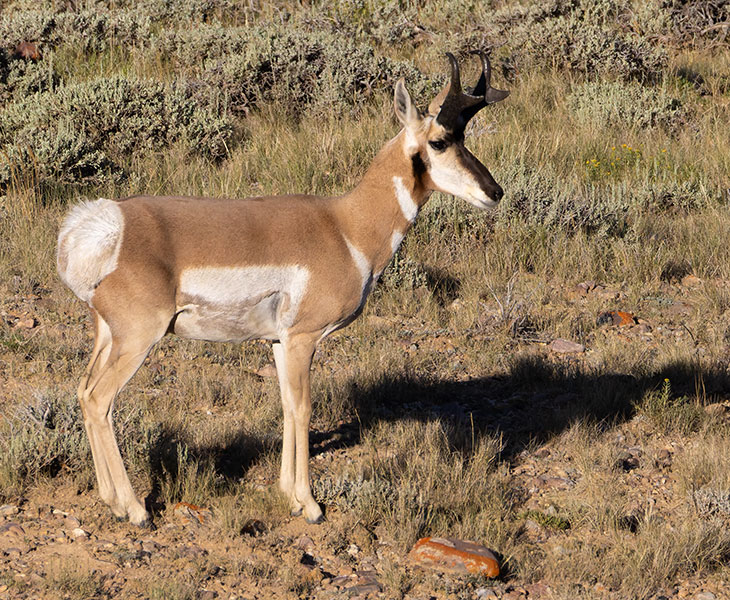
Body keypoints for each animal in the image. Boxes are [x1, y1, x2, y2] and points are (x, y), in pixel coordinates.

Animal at [57, 52, 509, 526]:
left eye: (464, 136)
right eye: (439, 141)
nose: (494, 191)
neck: (346, 226)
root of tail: (104, 223)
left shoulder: (278, 341)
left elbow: (288, 406)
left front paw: (289, 495)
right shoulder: (303, 338)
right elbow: (305, 408)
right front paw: (310, 506)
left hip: (107, 336)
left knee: (83, 393)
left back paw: (111, 499)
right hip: (138, 338)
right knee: (100, 400)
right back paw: (134, 509)